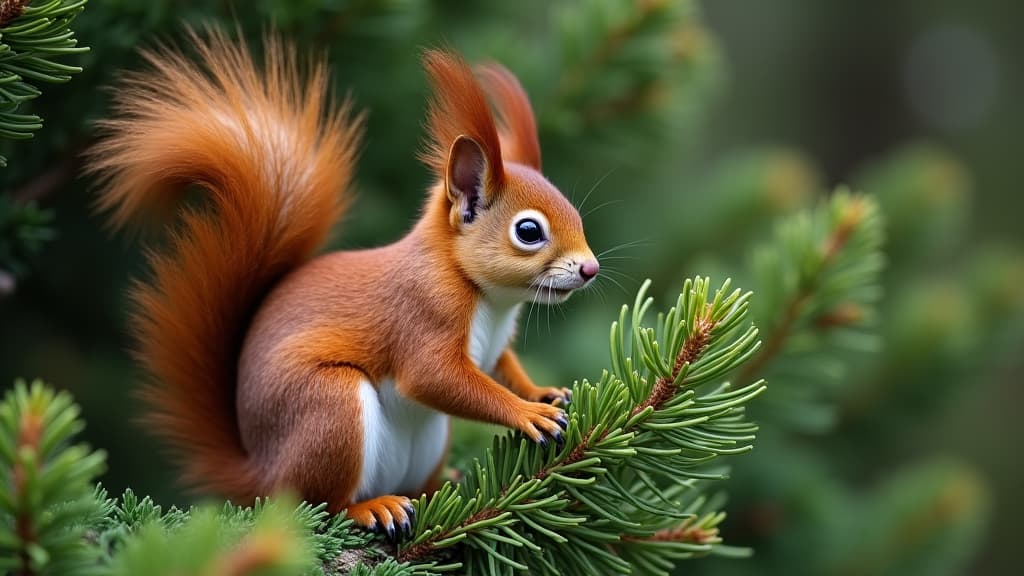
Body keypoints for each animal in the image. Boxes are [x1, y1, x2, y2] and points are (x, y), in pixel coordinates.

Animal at [90, 31, 598, 532]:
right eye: (528, 231)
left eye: (575, 214)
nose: (590, 269)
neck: (489, 300)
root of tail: (261, 473)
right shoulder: (425, 313)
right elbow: (436, 378)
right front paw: (529, 414)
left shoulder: (492, 346)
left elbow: (502, 367)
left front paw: (543, 391)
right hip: (330, 409)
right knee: (320, 505)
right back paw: (373, 508)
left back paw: (440, 486)